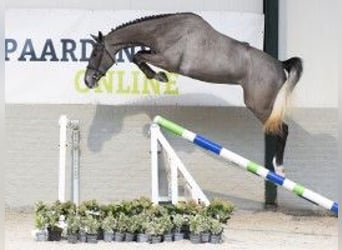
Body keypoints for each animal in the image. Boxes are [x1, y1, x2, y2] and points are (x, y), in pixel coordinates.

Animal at [85, 12, 302, 175]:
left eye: (95, 53)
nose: (88, 81)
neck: (166, 31)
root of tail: (280, 64)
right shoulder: (156, 53)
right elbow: (139, 55)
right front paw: (158, 76)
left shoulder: (169, 61)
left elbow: (137, 56)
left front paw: (159, 76)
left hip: (259, 106)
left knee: (283, 129)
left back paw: (279, 169)